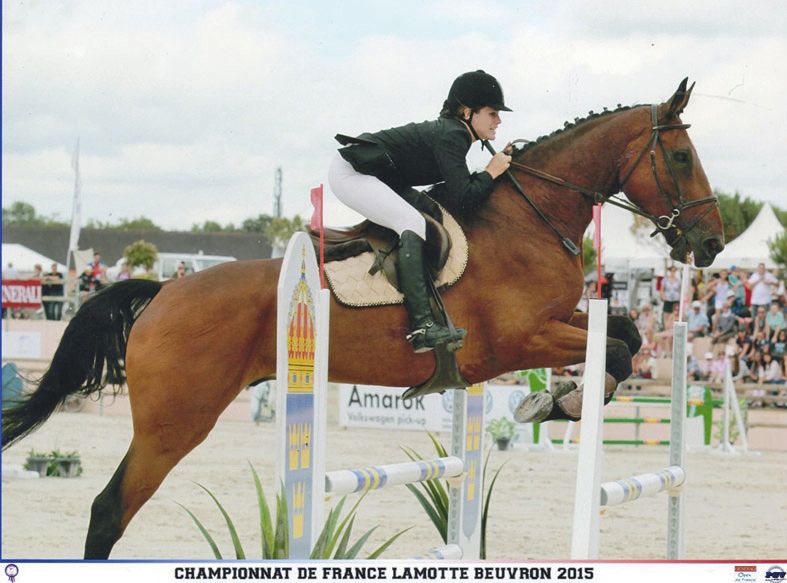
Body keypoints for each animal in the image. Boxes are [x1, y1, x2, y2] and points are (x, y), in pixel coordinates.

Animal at [1, 78, 728, 560]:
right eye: (681, 157)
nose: (712, 243)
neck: (531, 216)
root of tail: (163, 293)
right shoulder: (519, 339)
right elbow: (616, 350)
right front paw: (557, 402)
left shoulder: (558, 320)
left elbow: (627, 335)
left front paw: (555, 399)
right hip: (175, 421)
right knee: (109, 509)